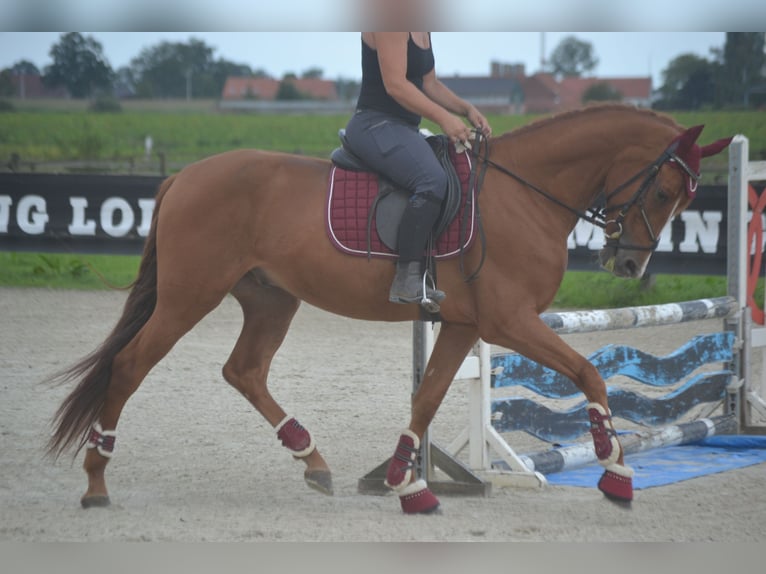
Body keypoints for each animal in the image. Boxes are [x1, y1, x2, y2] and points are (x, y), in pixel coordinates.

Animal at [46, 106, 732, 516]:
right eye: (665, 191)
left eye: (683, 199)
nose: (629, 265)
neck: (524, 195)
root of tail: (183, 177)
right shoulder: (508, 322)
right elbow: (588, 373)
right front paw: (616, 473)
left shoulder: (463, 324)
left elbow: (426, 399)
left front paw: (409, 481)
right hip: (190, 296)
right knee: (130, 366)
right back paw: (97, 480)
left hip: (271, 298)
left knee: (243, 371)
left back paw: (312, 460)